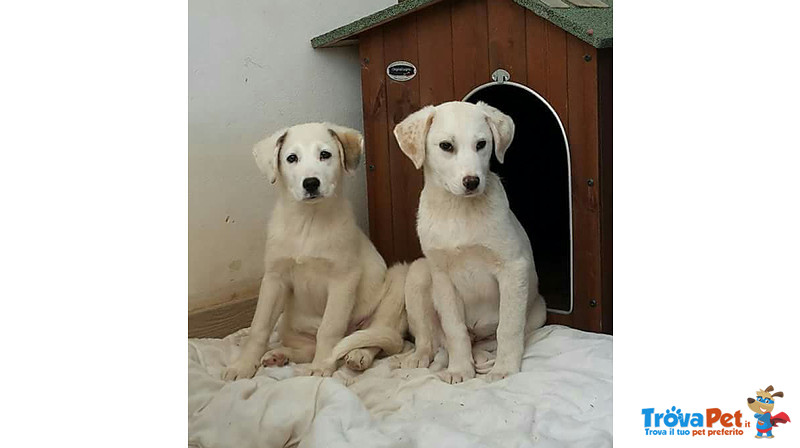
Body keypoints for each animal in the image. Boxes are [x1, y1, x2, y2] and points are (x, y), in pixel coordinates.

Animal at [223, 122, 406, 382]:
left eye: (325, 155)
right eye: (291, 158)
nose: (311, 183)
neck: (307, 222)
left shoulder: (343, 280)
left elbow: (329, 328)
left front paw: (322, 365)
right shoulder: (274, 279)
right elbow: (259, 327)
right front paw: (243, 366)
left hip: (395, 285)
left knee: (378, 337)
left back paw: (358, 355)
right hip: (288, 324)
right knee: (307, 347)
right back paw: (280, 355)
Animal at [396, 102, 548, 384]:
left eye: (481, 144)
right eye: (446, 146)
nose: (472, 182)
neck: (458, 210)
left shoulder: (513, 268)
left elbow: (508, 327)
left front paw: (504, 368)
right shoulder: (442, 276)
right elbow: (455, 330)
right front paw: (459, 369)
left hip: (538, 311)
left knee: (491, 339)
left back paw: (485, 358)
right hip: (418, 274)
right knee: (430, 338)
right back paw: (418, 358)